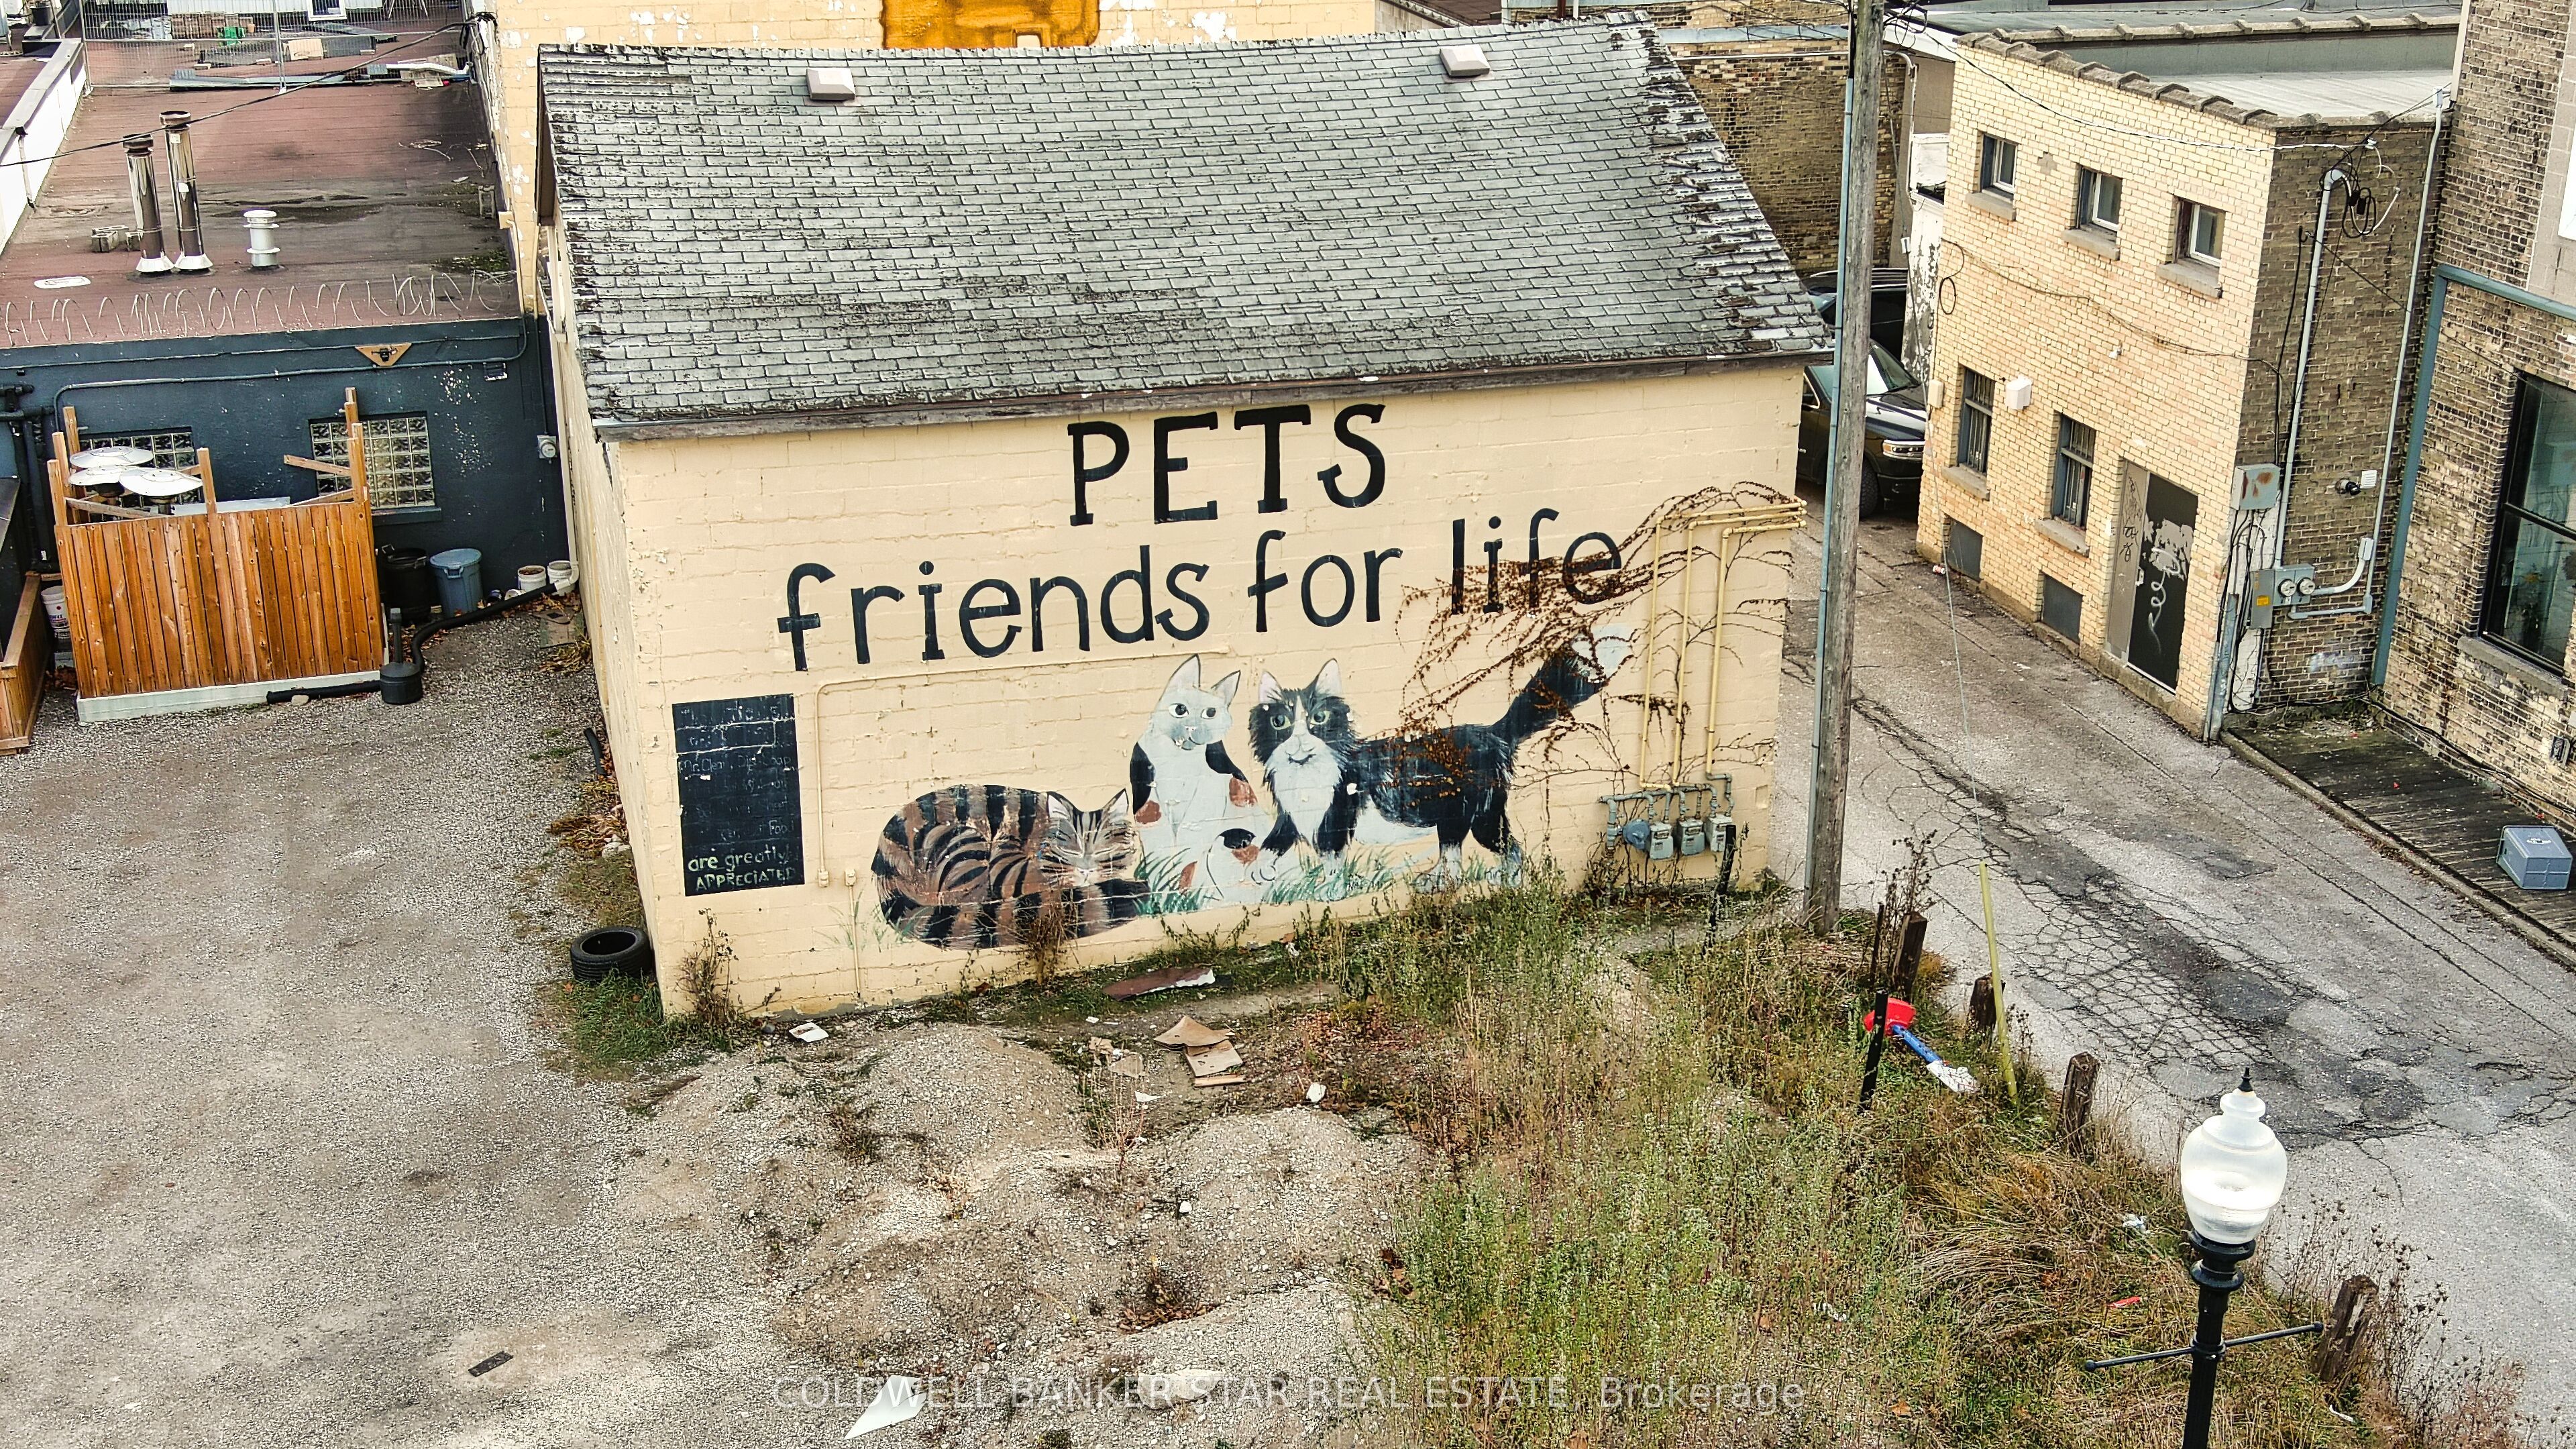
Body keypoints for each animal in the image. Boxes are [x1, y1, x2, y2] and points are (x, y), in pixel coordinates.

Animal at [1129, 655, 1265, 899]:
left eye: (1210, 713)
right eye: (1180, 709)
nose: (1192, 727)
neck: (1178, 759)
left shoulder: (1209, 793)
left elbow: (1190, 837)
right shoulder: (1147, 801)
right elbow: (1159, 844)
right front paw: (1163, 889)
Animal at [1249, 625, 1636, 888]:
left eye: (1319, 719)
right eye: (1280, 722)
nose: (1300, 743)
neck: (1304, 775)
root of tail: (1493, 732)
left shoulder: (1336, 819)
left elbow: (1332, 863)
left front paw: (1330, 889)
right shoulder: (1293, 816)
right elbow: (1273, 841)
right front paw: (1258, 869)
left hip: (1474, 815)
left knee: (1498, 851)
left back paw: (1493, 881)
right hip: (1465, 816)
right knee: (1470, 855)